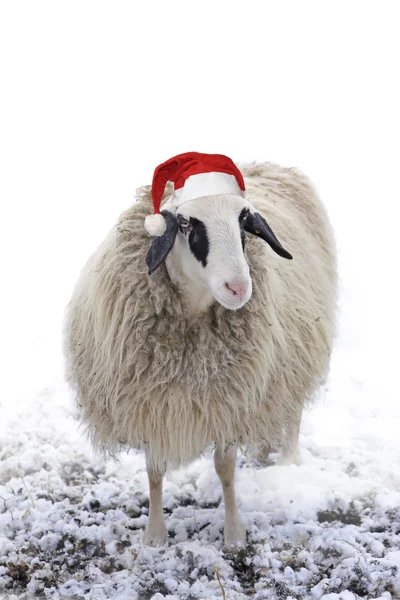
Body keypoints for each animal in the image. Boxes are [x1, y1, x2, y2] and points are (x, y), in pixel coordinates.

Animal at [65, 154, 338, 548]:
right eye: (185, 222)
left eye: (244, 221)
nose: (238, 288)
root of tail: (265, 163)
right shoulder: (151, 403)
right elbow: (154, 470)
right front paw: (155, 535)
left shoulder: (228, 400)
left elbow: (225, 469)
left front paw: (234, 534)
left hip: (297, 356)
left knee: (294, 410)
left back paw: (288, 459)